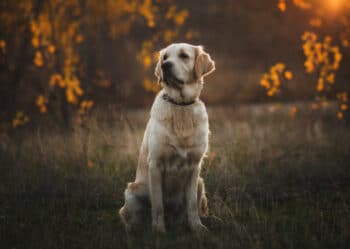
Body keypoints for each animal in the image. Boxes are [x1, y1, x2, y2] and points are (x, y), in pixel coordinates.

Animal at [119, 42, 215, 233]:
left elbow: (191, 205)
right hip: (132, 191)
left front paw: (197, 228)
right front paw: (158, 231)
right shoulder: (155, 165)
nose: (165, 66)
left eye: (184, 55)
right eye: (165, 57)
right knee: (130, 216)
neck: (181, 107)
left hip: (200, 183)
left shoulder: (194, 166)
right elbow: (157, 205)